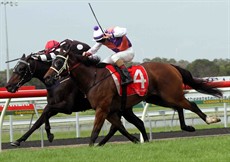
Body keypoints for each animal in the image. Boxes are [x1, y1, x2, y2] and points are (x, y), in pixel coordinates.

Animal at [43, 48, 223, 146]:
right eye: (52, 62)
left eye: (58, 62)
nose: (47, 78)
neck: (93, 78)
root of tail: (171, 66)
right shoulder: (110, 110)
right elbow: (120, 127)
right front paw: (138, 140)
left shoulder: (102, 109)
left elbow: (95, 131)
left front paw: (90, 146)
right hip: (158, 98)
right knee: (180, 107)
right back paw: (187, 127)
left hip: (171, 94)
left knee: (191, 105)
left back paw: (210, 119)